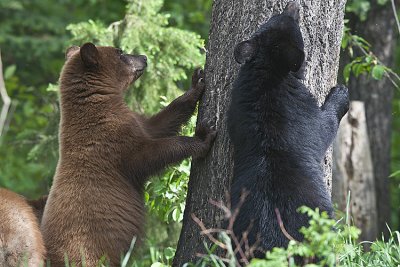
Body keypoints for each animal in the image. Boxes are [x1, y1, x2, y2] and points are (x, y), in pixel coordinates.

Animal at [40, 44, 216, 267]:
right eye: (121, 52)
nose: (144, 57)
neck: (97, 108)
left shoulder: (134, 123)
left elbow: (160, 123)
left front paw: (196, 82)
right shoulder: (112, 143)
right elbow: (150, 154)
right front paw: (203, 137)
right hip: (87, 253)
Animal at [228, 1, 350, 260]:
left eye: (274, 17)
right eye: (292, 23)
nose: (292, 6)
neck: (267, 69)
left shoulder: (238, 106)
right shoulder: (300, 111)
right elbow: (323, 128)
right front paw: (341, 93)